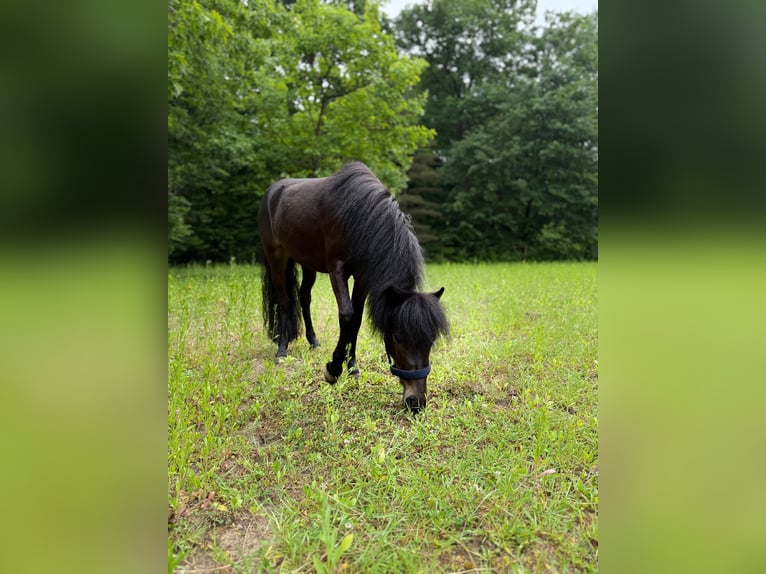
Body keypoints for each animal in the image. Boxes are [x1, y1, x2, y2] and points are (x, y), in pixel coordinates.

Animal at [258, 162, 449, 412]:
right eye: (398, 337)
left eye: (431, 340)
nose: (416, 401)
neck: (359, 215)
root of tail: (273, 191)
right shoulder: (337, 270)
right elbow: (347, 316)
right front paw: (333, 368)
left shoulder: (362, 276)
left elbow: (356, 320)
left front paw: (353, 366)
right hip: (277, 258)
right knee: (284, 301)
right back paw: (282, 350)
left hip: (307, 262)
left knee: (304, 296)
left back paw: (313, 341)